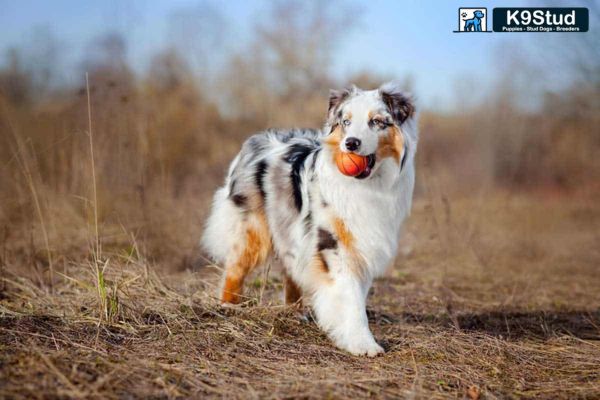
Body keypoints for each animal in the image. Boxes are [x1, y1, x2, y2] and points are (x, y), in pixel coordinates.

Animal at [202, 82, 418, 356]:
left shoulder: (361, 245)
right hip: (253, 229)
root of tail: (256, 139)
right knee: (235, 268)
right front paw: (362, 343)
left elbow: (356, 294)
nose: (351, 143)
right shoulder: (333, 244)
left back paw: (295, 312)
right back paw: (228, 306)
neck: (368, 185)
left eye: (377, 121)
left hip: (290, 229)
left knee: (290, 269)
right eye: (346, 122)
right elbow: (350, 298)